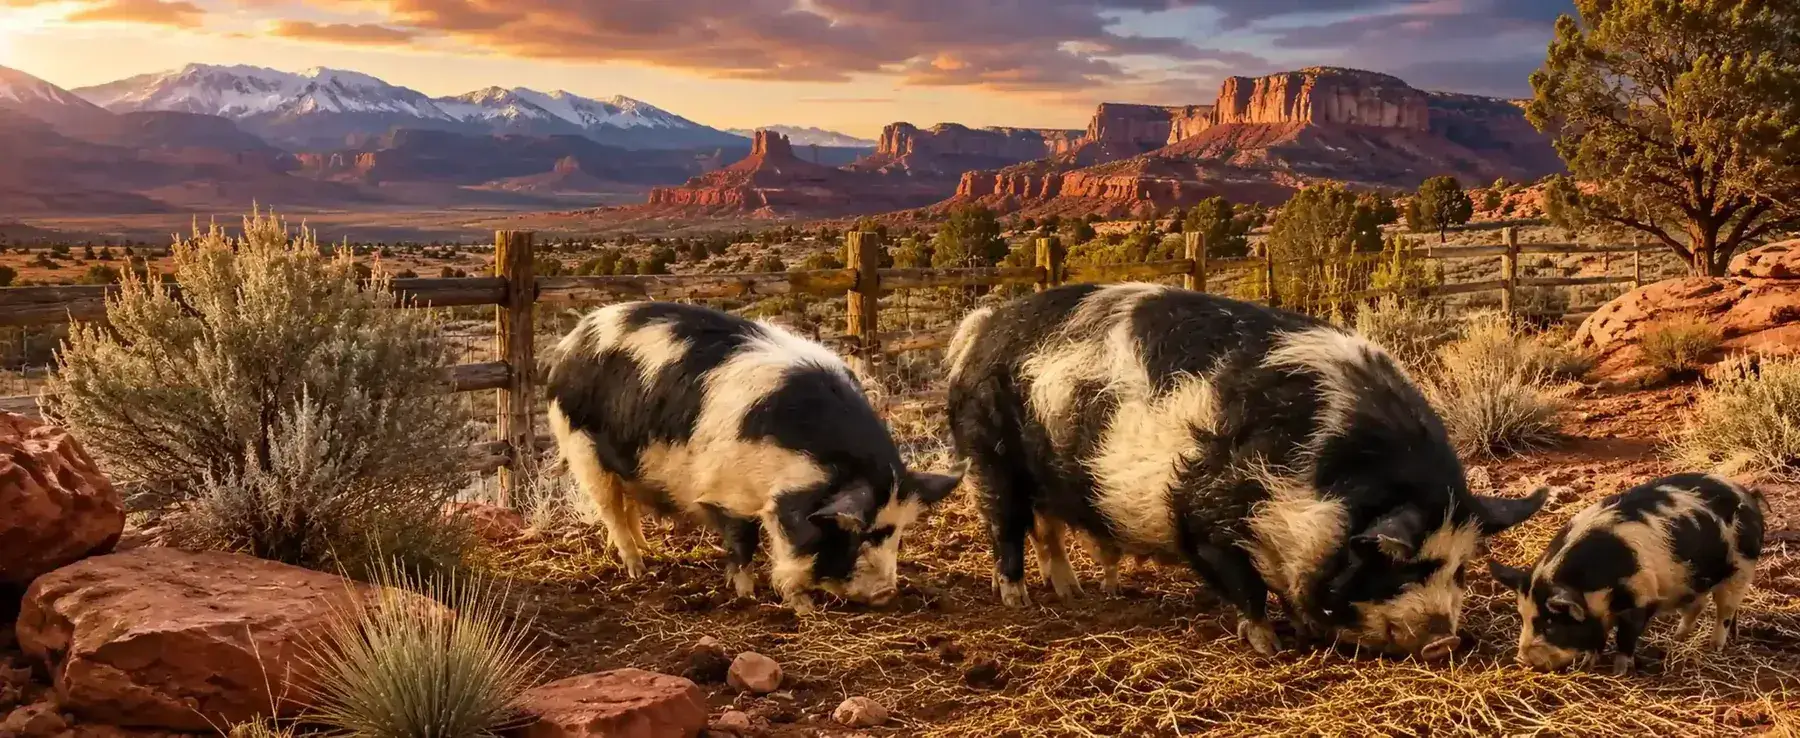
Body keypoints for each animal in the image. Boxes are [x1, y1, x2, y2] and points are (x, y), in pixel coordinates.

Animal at [546, 301, 962, 610]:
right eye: (854, 532)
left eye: (899, 532)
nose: (886, 593)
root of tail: (570, 342)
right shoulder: (727, 491)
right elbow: (743, 540)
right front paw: (751, 595)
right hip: (581, 449)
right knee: (611, 510)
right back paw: (639, 568)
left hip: (623, 464)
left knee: (627, 505)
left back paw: (650, 551)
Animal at [945, 283, 1546, 657]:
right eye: (1399, 565)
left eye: (1461, 568)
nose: (1446, 640)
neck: (1313, 478)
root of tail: (978, 330)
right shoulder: (1201, 514)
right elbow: (1243, 585)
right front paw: (1270, 645)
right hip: (988, 458)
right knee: (1005, 529)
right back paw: (1019, 601)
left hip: (1040, 478)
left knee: (1046, 530)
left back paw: (1071, 594)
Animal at [1489, 472, 1767, 675]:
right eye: (1523, 617)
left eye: (1550, 624)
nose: (1522, 660)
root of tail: (1748, 494)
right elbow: (1598, 640)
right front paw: (1588, 664)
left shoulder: (1642, 597)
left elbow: (1626, 638)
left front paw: (1620, 672)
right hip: (1693, 580)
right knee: (1698, 606)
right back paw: (1678, 638)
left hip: (1741, 568)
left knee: (1725, 610)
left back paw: (1714, 647)